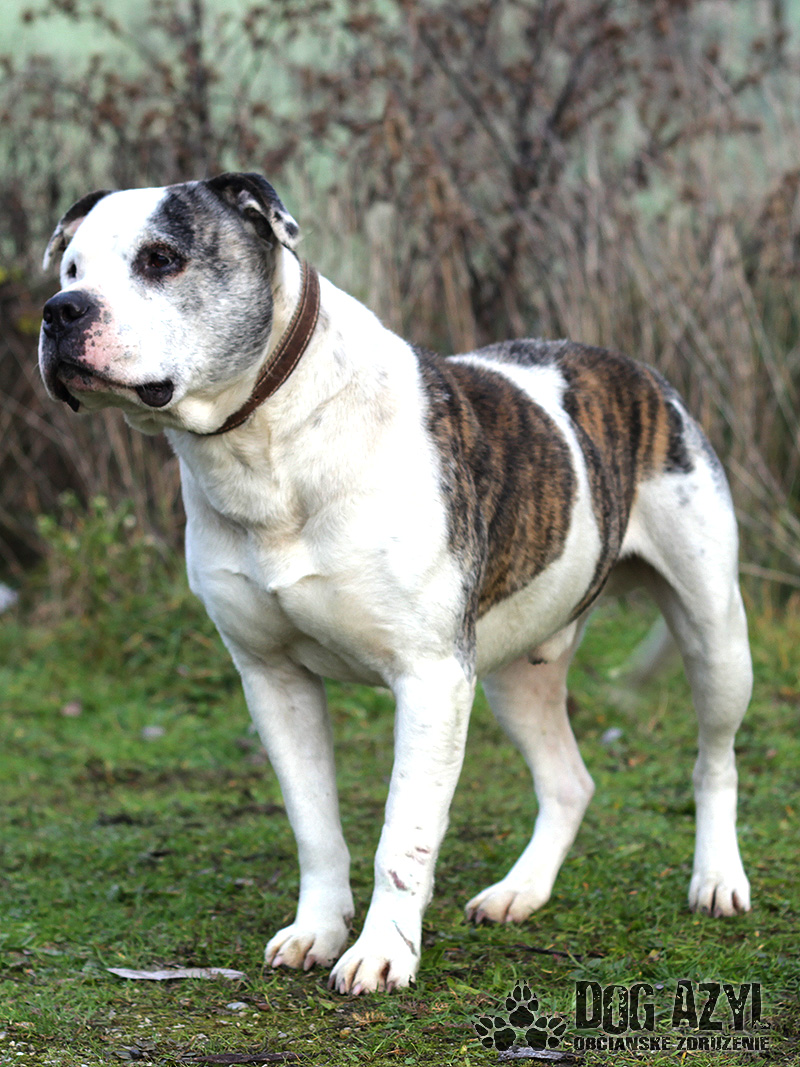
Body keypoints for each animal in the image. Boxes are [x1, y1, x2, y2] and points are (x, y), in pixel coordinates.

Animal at [39, 173, 752, 995]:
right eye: (70, 269)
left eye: (161, 259)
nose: (61, 312)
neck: (269, 445)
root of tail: (634, 370)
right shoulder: (272, 678)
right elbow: (314, 824)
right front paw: (318, 930)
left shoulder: (431, 677)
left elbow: (402, 839)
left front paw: (382, 953)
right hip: (516, 672)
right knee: (569, 781)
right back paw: (520, 892)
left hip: (714, 634)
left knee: (715, 758)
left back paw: (718, 879)